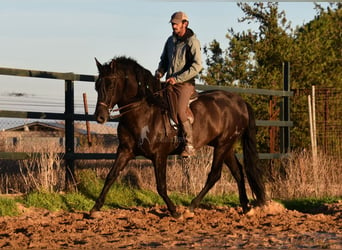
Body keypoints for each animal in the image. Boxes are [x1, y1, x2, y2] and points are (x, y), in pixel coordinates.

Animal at [91, 56, 268, 217]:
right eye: (97, 86)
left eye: (111, 85)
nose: (100, 117)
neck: (144, 112)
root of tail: (240, 102)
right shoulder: (125, 151)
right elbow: (111, 176)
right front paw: (95, 208)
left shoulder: (159, 155)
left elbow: (161, 186)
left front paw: (174, 211)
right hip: (226, 146)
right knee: (237, 172)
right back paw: (246, 207)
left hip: (223, 145)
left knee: (214, 175)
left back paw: (192, 207)